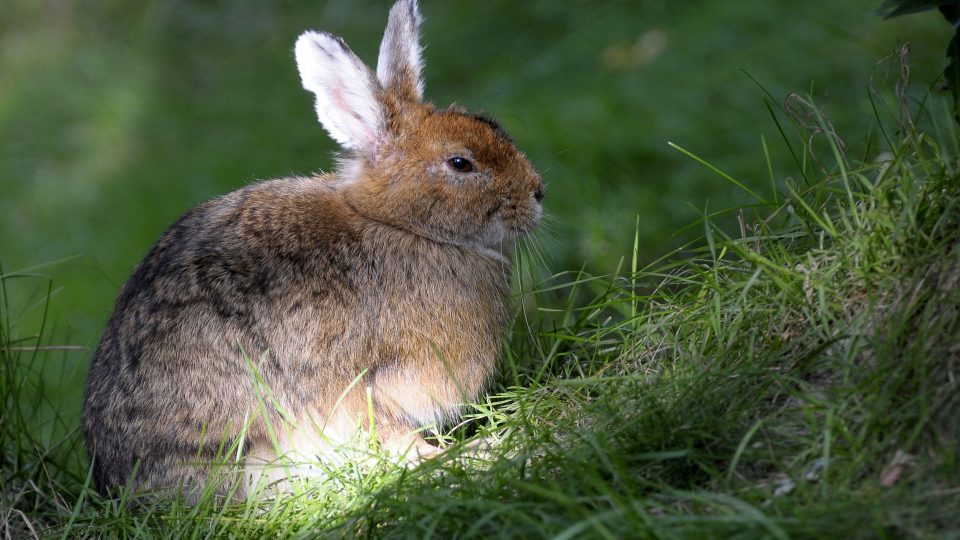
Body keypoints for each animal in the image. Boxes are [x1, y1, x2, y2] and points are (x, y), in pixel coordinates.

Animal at [82, 0, 544, 499]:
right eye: (461, 163)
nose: (538, 193)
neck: (402, 225)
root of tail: (117, 480)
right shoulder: (371, 386)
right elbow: (394, 435)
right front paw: (471, 454)